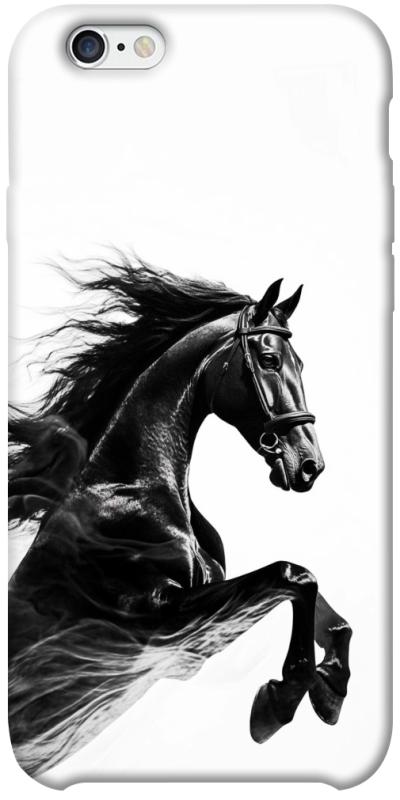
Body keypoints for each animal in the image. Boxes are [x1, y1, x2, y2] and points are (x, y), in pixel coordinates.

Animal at [8, 259, 352, 776]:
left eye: (302, 364)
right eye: (269, 359)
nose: (310, 465)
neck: (133, 490)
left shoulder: (193, 639)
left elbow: (322, 606)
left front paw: (330, 689)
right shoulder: (160, 624)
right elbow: (293, 575)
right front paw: (278, 703)